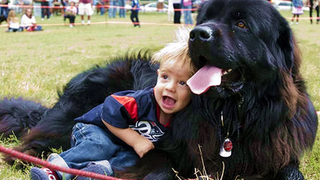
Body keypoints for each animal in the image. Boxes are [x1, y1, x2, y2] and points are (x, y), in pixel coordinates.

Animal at [1, 0, 318, 179]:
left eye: (241, 24)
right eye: (204, 18)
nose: (197, 33)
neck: (230, 116)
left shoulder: (277, 150)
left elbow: (292, 171)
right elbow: (162, 166)